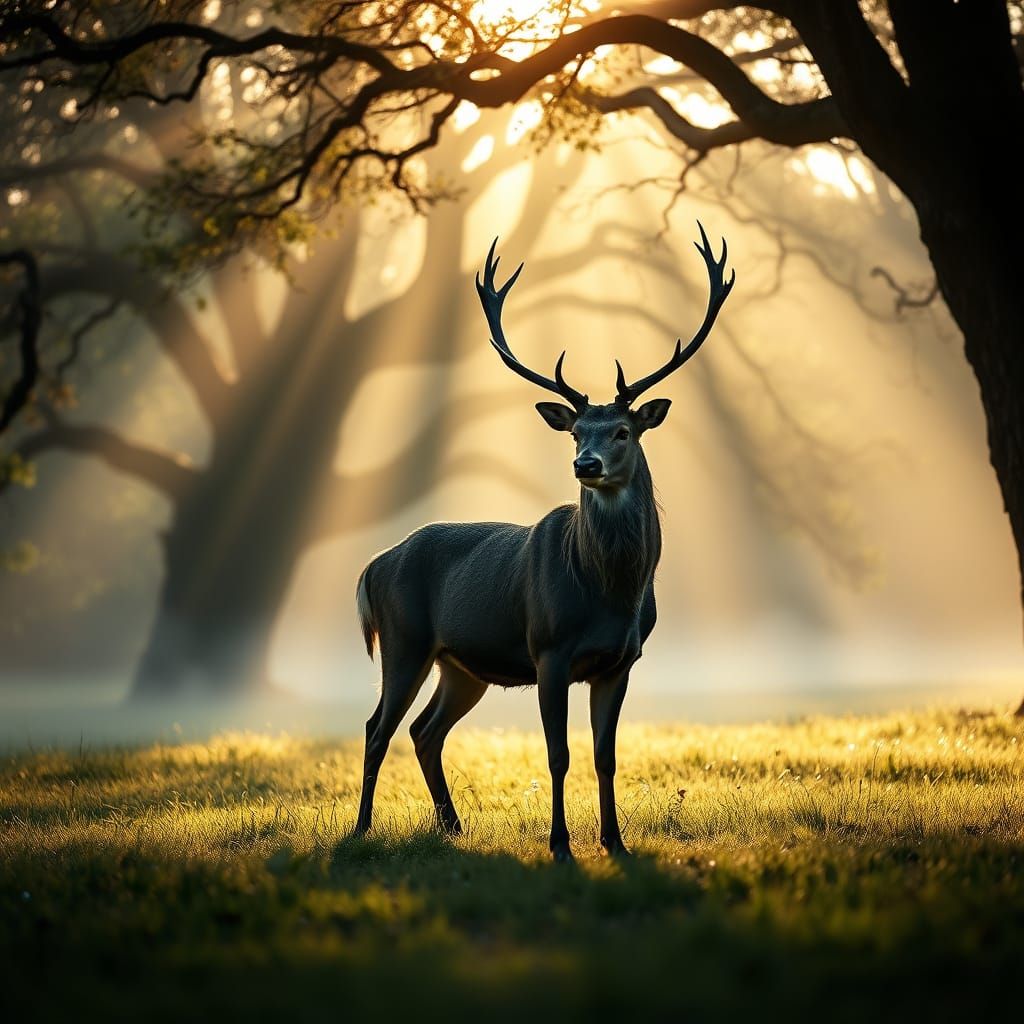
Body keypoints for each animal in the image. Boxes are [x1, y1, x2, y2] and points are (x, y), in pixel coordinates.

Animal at [354, 224, 735, 861]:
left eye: (623, 431)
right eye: (577, 431)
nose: (586, 464)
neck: (609, 592)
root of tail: (372, 566)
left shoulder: (621, 660)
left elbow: (606, 757)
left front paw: (615, 842)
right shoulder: (548, 649)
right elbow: (559, 755)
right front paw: (560, 845)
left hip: (463, 665)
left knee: (424, 730)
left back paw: (453, 826)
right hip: (404, 639)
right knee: (376, 727)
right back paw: (360, 830)